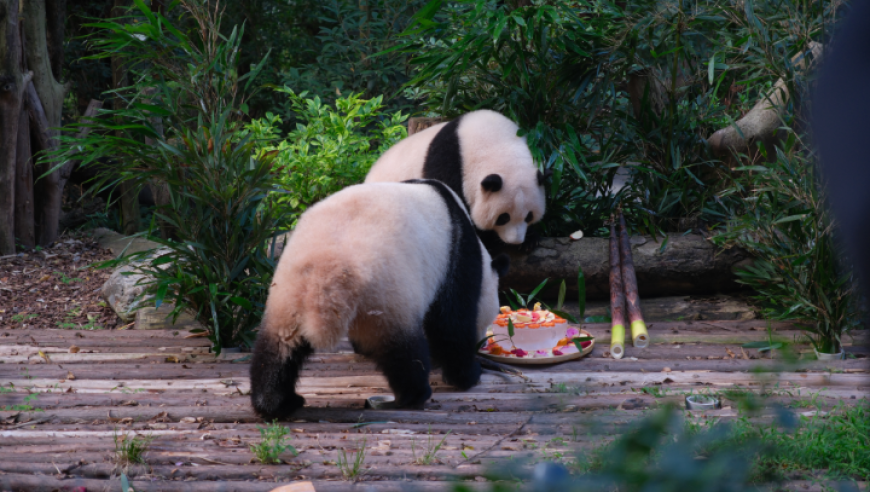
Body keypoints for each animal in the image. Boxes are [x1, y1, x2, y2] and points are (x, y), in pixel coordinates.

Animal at [250, 180, 510, 418]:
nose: (483, 343)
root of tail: (326, 272)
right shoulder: (455, 257)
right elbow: (451, 322)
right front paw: (469, 373)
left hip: (288, 290)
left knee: (278, 348)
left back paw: (276, 402)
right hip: (384, 294)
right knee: (402, 350)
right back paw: (414, 394)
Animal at [366, 109, 544, 252]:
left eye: (529, 216)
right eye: (503, 217)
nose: (515, 241)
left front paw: (530, 241)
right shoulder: (448, 164)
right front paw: (488, 241)